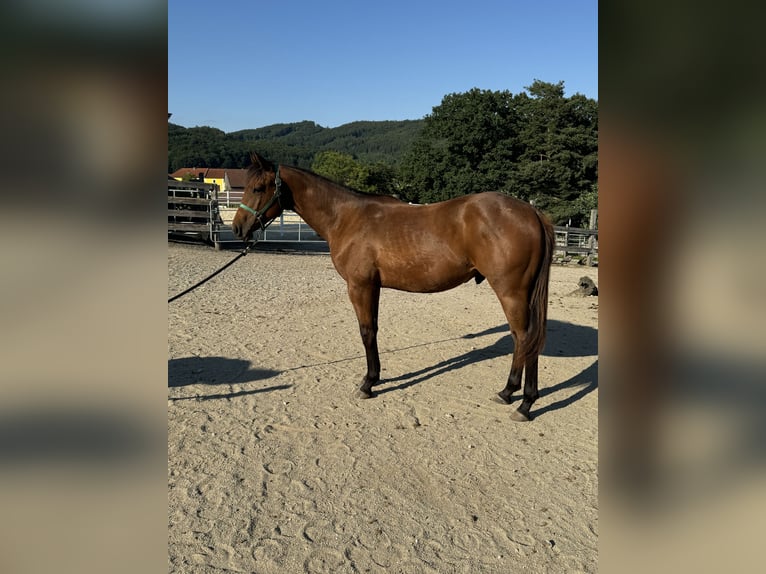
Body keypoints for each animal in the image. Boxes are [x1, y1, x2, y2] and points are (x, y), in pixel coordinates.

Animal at [231, 153, 556, 424]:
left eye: (258, 188)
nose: (237, 228)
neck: (346, 217)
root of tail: (532, 212)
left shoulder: (360, 286)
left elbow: (366, 332)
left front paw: (367, 384)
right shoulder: (372, 287)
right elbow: (373, 330)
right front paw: (374, 378)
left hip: (511, 292)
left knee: (525, 337)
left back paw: (525, 404)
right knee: (521, 339)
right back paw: (508, 392)